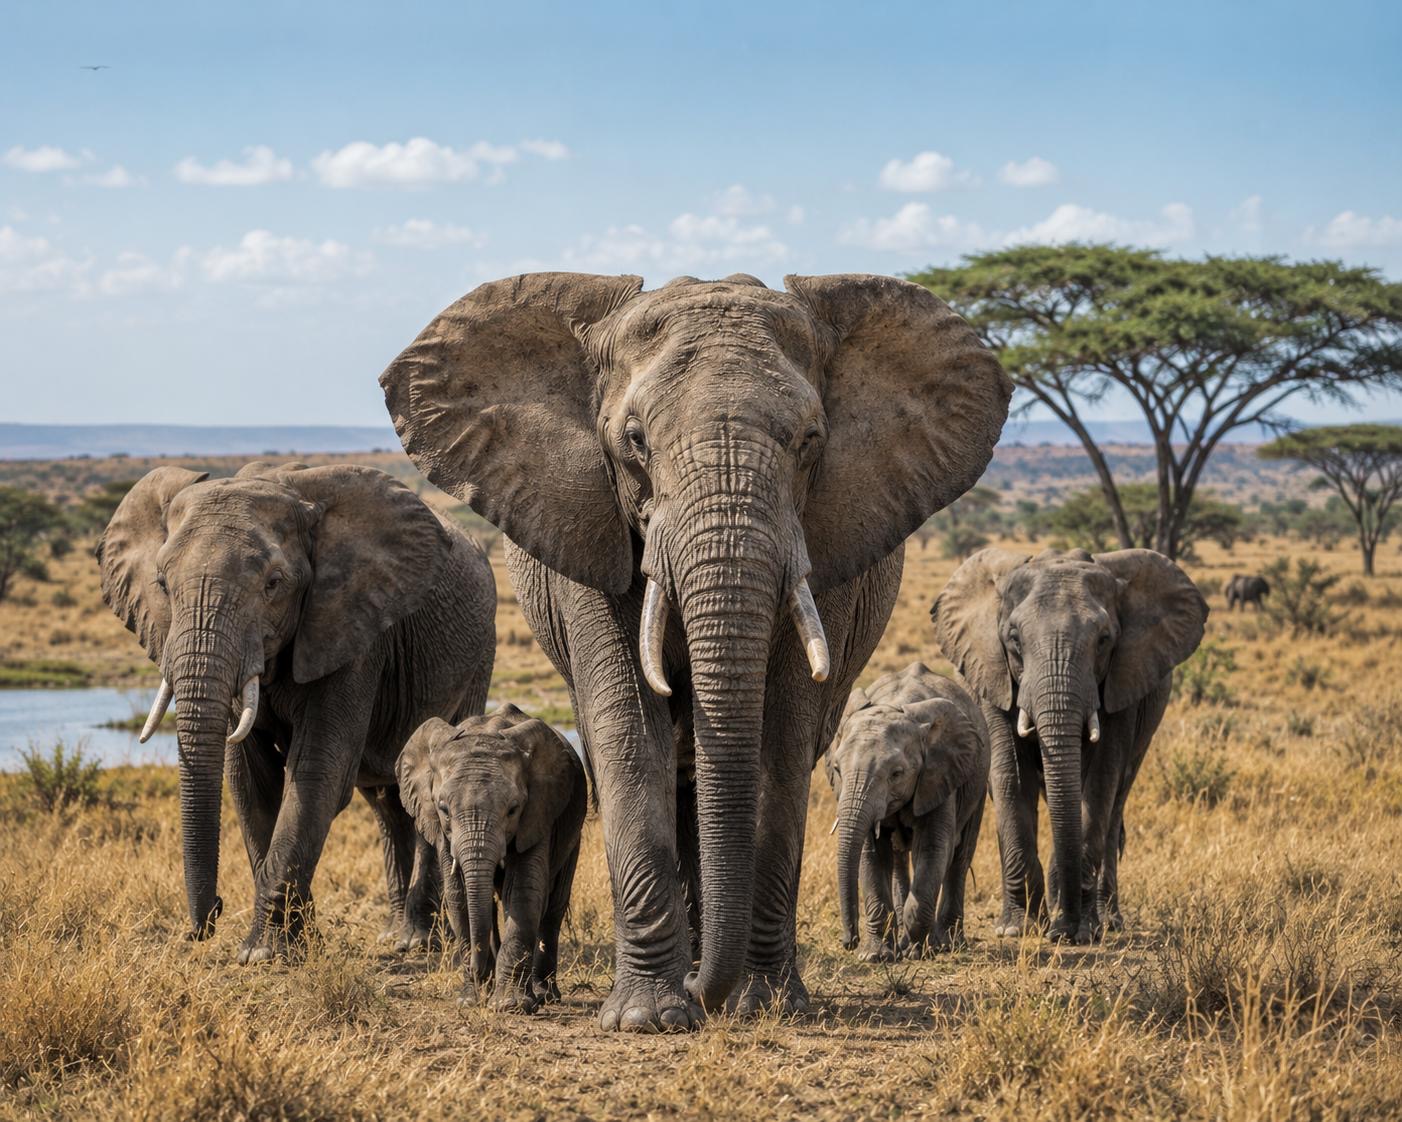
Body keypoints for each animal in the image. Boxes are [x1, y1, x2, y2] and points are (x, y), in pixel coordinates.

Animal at [97, 461, 496, 959]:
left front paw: (265, 953)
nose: (208, 920)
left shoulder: (352, 630)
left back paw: (419, 942)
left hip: (478, 659)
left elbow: (315, 773)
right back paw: (394, 934)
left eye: (274, 584)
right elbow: (251, 782)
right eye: (163, 584)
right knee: (387, 801)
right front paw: (296, 945)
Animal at [397, 705, 587, 1013]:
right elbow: (458, 894)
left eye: (513, 810)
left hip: (573, 829)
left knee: (553, 905)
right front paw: (469, 999)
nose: (477, 973)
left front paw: (511, 1005)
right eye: (444, 809)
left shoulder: (538, 813)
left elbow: (523, 892)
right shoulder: (443, 833)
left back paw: (544, 994)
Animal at [823, 663, 988, 961]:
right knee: (899, 859)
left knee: (960, 855)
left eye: (897, 774)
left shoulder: (938, 773)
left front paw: (913, 950)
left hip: (977, 779)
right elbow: (870, 853)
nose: (848, 941)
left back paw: (945, 943)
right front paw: (875, 956)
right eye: (838, 769)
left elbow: (934, 847)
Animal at [932, 547, 1207, 943]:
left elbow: (1100, 781)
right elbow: (1009, 775)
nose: (1063, 933)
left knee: (1116, 802)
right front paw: (1018, 928)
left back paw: (1108, 920)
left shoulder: (1122, 681)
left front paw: (1083, 929)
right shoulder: (992, 676)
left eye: (1104, 639)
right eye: (1014, 639)